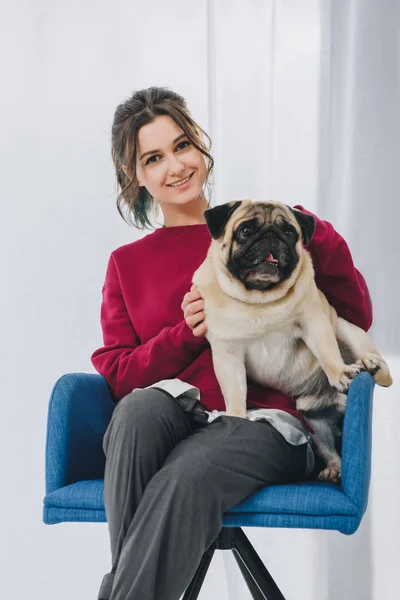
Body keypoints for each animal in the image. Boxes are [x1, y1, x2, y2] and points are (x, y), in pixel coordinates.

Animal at [192, 202, 392, 482]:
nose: (271, 235)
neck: (260, 301)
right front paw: (236, 416)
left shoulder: (314, 321)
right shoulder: (227, 354)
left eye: (289, 231)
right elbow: (234, 392)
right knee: (332, 450)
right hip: (316, 426)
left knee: (381, 372)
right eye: (245, 231)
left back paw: (370, 365)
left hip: (347, 329)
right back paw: (333, 470)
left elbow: (327, 352)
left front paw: (340, 372)